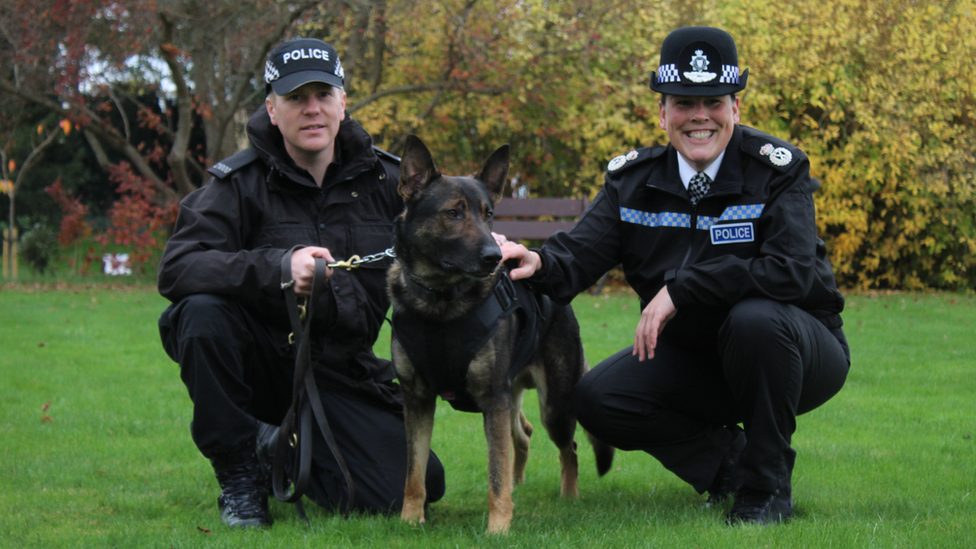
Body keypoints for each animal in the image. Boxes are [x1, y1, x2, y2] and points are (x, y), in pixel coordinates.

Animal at [386, 135, 608, 532]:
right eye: (453, 213)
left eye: (488, 214)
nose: (494, 256)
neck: (440, 303)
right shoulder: (417, 400)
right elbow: (414, 472)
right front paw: (410, 521)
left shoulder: (492, 399)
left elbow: (495, 473)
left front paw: (498, 528)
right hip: (513, 398)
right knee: (523, 435)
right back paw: (520, 484)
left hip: (553, 406)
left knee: (568, 448)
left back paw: (569, 497)